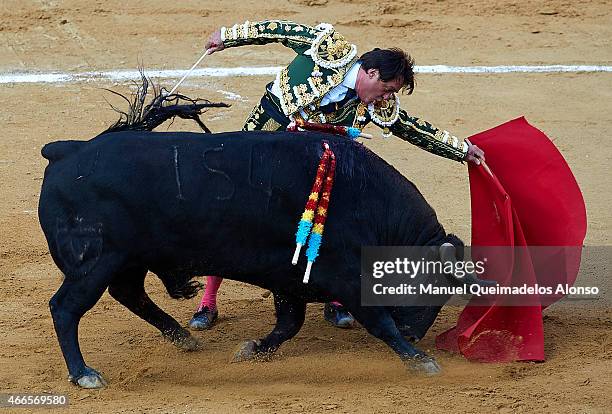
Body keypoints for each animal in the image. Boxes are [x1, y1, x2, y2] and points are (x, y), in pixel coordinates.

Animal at [39, 130, 468, 388]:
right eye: (431, 288)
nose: (414, 334)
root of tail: (65, 150)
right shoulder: (344, 275)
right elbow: (379, 322)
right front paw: (419, 360)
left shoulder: (291, 278)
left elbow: (289, 324)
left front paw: (254, 349)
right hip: (94, 263)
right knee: (66, 308)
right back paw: (83, 374)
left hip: (126, 260)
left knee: (129, 294)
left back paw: (182, 337)